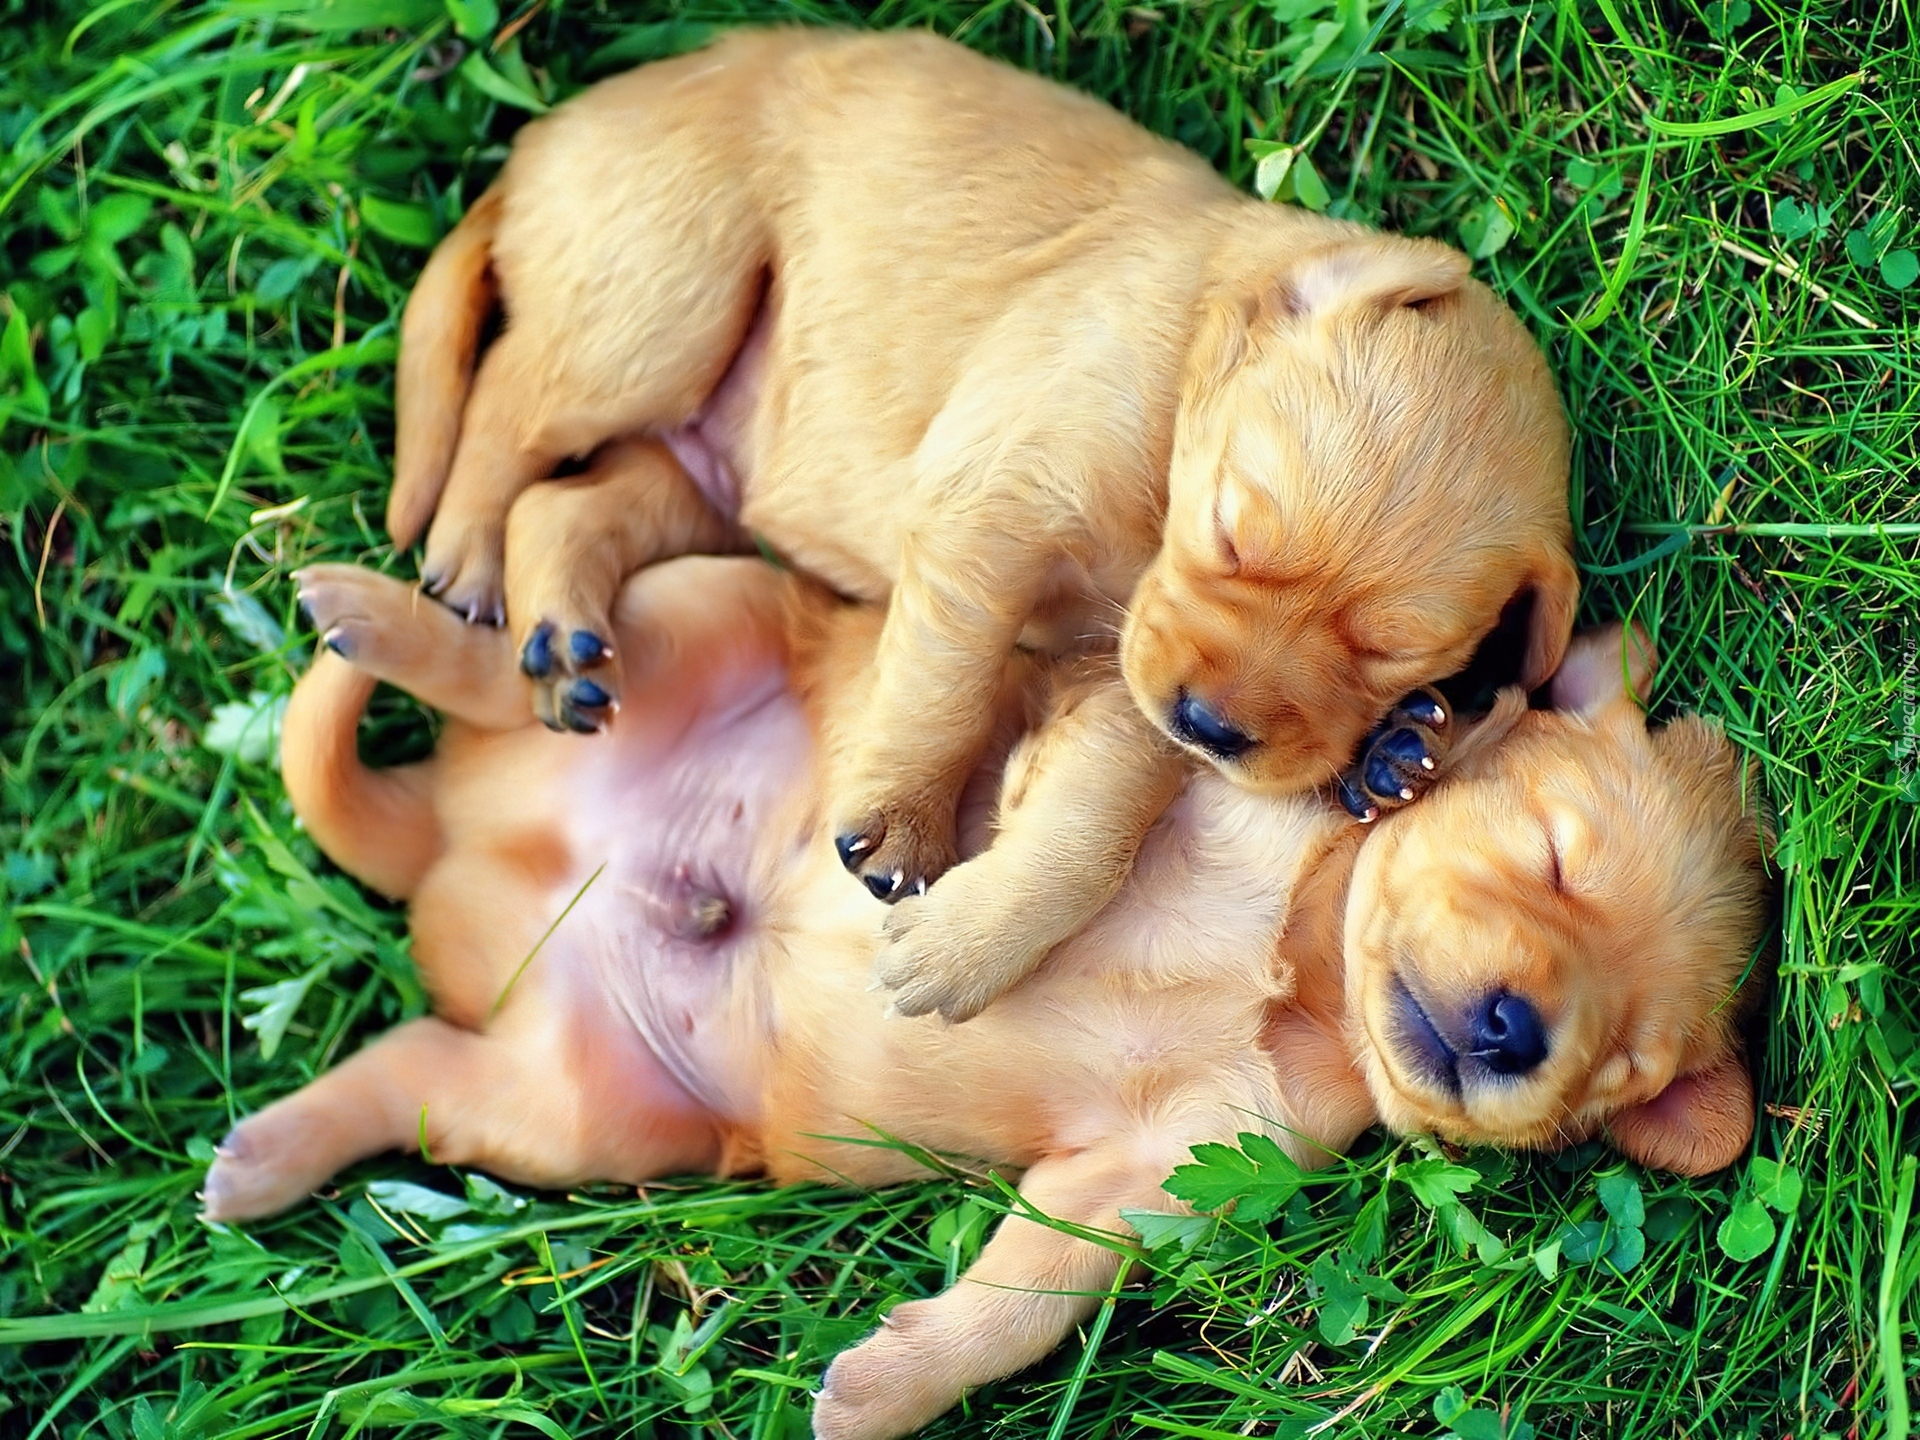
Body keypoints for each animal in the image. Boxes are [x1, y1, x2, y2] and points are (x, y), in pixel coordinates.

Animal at [203, 557, 1770, 1440]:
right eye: (1554, 853)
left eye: (1624, 1069)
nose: (1516, 1028)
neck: (1296, 967)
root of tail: (450, 843)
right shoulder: (1138, 729)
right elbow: (1085, 806)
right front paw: (972, 919)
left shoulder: (1161, 1178)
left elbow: (1024, 1301)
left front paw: (883, 1392)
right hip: (708, 602)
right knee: (526, 659)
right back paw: (377, 617)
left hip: (572, 1115)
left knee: (410, 1059)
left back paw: (264, 1155)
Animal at [386, 27, 1578, 1019]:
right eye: (1232, 529)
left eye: (1390, 658)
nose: (1210, 726)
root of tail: (542, 137)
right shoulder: (995, 514)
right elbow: (945, 686)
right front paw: (904, 816)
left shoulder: (1120, 682)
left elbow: (1093, 822)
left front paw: (970, 941)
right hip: (662, 297)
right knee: (510, 407)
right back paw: (467, 552)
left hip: (698, 468)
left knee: (569, 503)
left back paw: (563, 639)